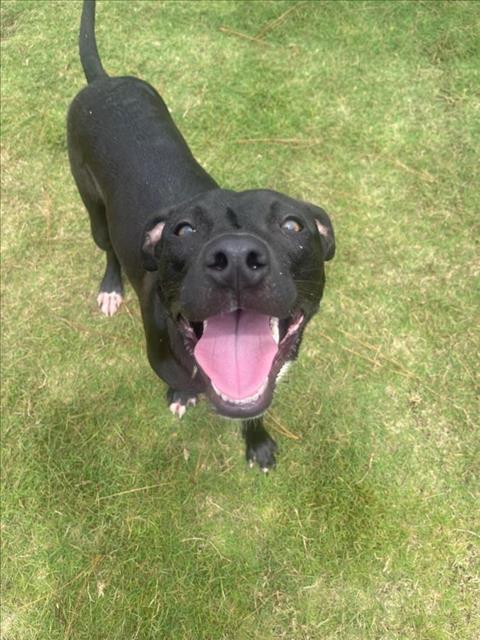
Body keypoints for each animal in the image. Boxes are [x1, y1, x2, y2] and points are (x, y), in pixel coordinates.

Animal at [67, 0, 334, 470]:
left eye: (292, 225)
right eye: (185, 229)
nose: (237, 258)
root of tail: (103, 82)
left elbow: (255, 405)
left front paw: (257, 443)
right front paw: (181, 394)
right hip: (93, 209)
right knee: (109, 249)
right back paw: (111, 288)